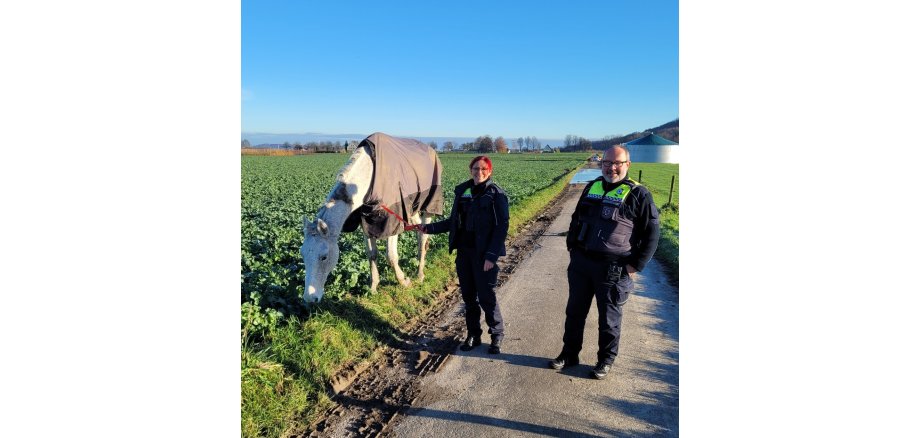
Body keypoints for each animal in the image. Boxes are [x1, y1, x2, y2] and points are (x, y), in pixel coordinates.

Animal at [300, 132, 444, 302]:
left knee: (423, 237)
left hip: (429, 205)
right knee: (419, 230)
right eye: (302, 254)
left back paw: (420, 274)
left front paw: (404, 281)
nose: (309, 298)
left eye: (324, 257)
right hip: (412, 209)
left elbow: (391, 256)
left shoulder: (392, 222)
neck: (369, 178)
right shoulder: (366, 224)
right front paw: (373, 287)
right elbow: (371, 255)